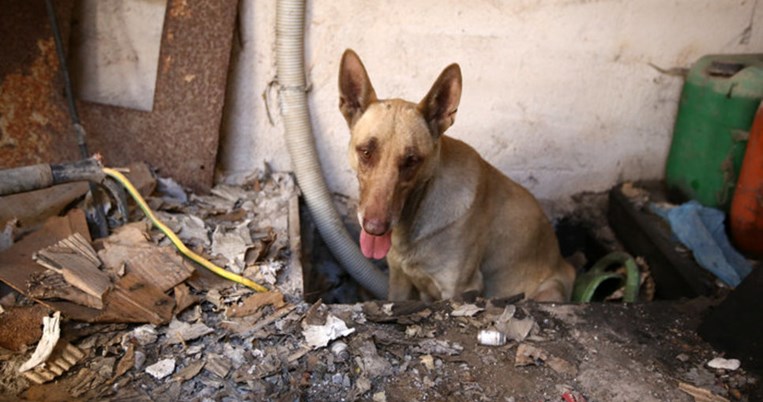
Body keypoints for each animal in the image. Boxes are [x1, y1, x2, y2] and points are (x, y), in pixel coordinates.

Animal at [338, 49, 572, 302]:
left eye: (411, 160)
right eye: (366, 152)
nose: (374, 229)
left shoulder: (458, 289)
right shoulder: (399, 281)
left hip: (550, 291)